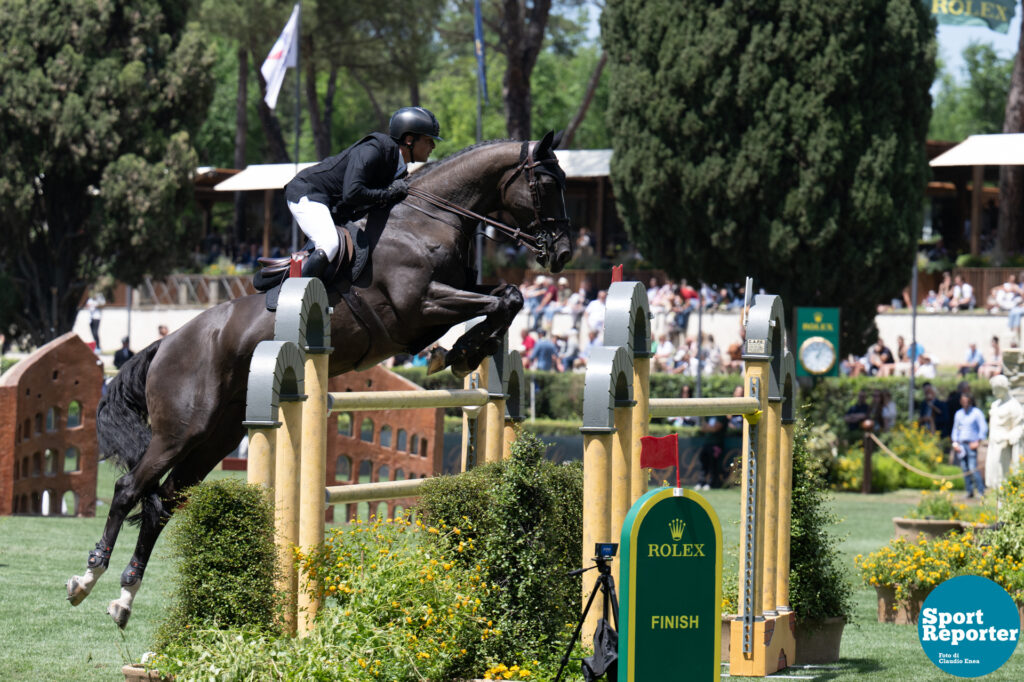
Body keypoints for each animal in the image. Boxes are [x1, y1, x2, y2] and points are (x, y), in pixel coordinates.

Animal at [67, 130, 573, 622]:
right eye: (548, 183)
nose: (564, 253)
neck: (425, 221)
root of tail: (167, 343)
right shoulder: (421, 305)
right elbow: (502, 298)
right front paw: (461, 351)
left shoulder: (451, 296)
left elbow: (508, 295)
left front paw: (466, 351)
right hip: (180, 431)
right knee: (129, 490)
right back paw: (88, 578)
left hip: (216, 437)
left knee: (165, 503)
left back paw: (125, 597)